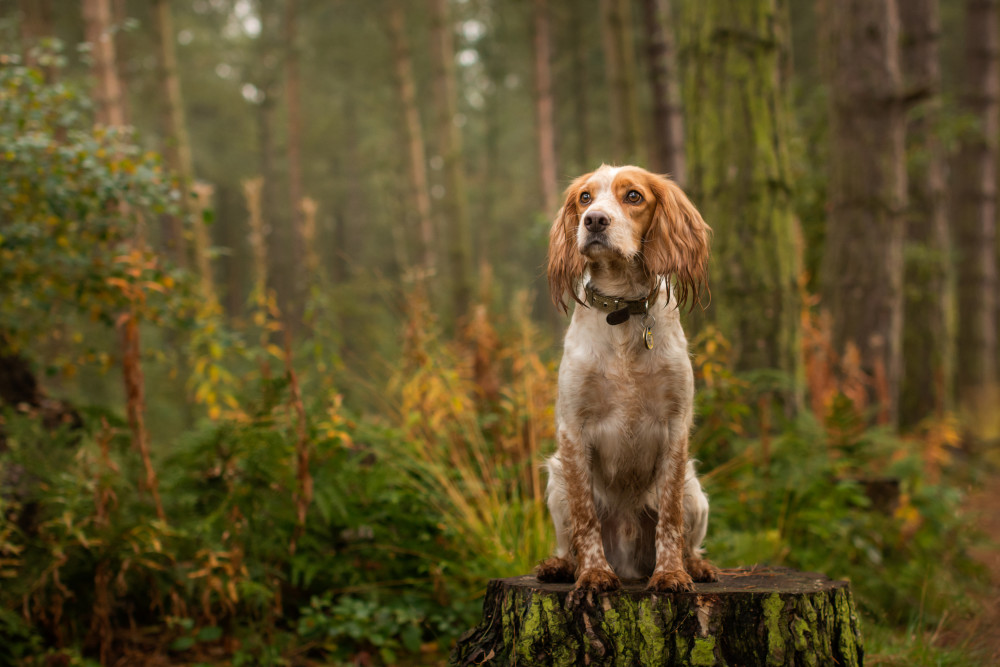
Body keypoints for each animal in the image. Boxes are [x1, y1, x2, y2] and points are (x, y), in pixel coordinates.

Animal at [540, 164, 720, 592]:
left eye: (633, 196)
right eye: (585, 198)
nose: (593, 221)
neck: (621, 310)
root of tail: (629, 564)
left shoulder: (675, 426)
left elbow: (669, 517)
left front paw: (671, 573)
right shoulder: (572, 430)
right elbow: (586, 518)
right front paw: (593, 573)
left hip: (695, 492)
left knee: (689, 539)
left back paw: (696, 565)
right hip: (556, 480)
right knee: (569, 541)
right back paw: (562, 566)